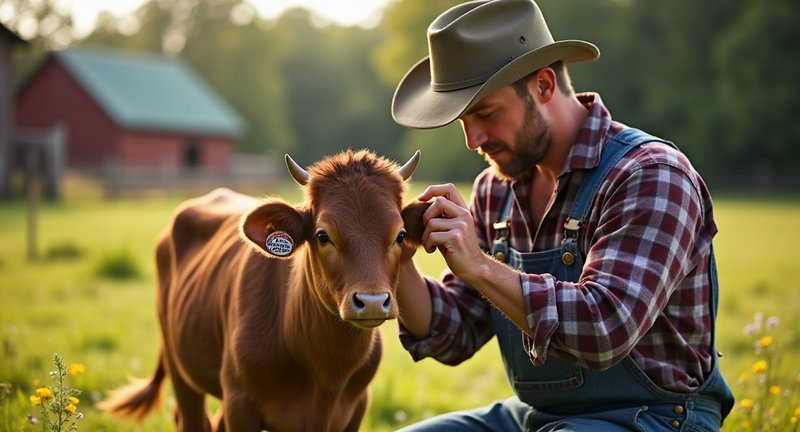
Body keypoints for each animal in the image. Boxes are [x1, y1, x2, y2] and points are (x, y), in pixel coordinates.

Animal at [101, 150, 432, 430]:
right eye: (322, 235)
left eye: (401, 235)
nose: (372, 301)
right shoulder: (239, 402)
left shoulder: (357, 406)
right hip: (181, 370)